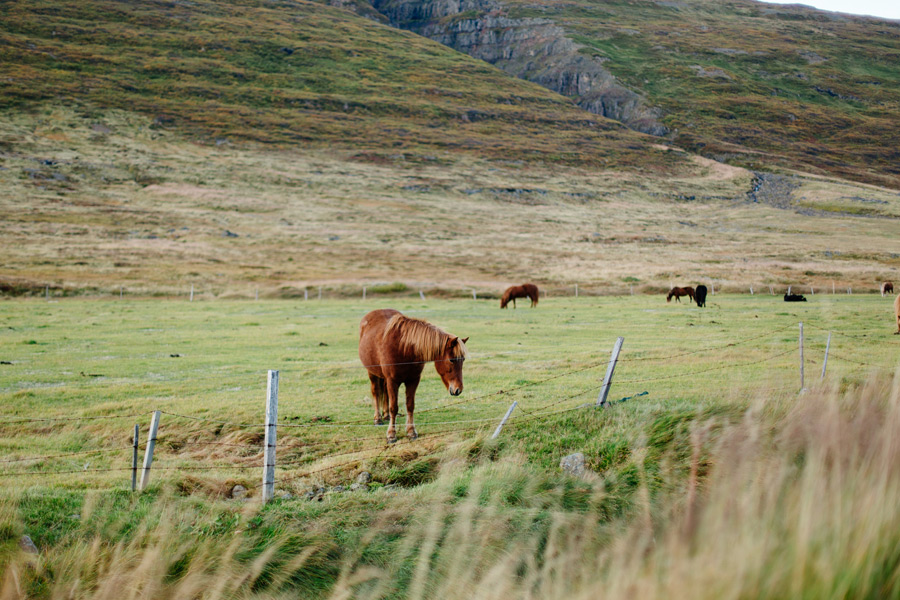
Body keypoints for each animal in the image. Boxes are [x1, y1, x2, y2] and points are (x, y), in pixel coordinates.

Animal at [358, 312, 472, 442]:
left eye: (463, 359)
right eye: (452, 360)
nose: (458, 389)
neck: (404, 348)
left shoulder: (413, 380)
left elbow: (410, 405)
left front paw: (411, 431)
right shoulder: (392, 381)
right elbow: (394, 407)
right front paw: (391, 434)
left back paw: (386, 416)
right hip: (372, 373)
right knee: (376, 392)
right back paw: (378, 419)